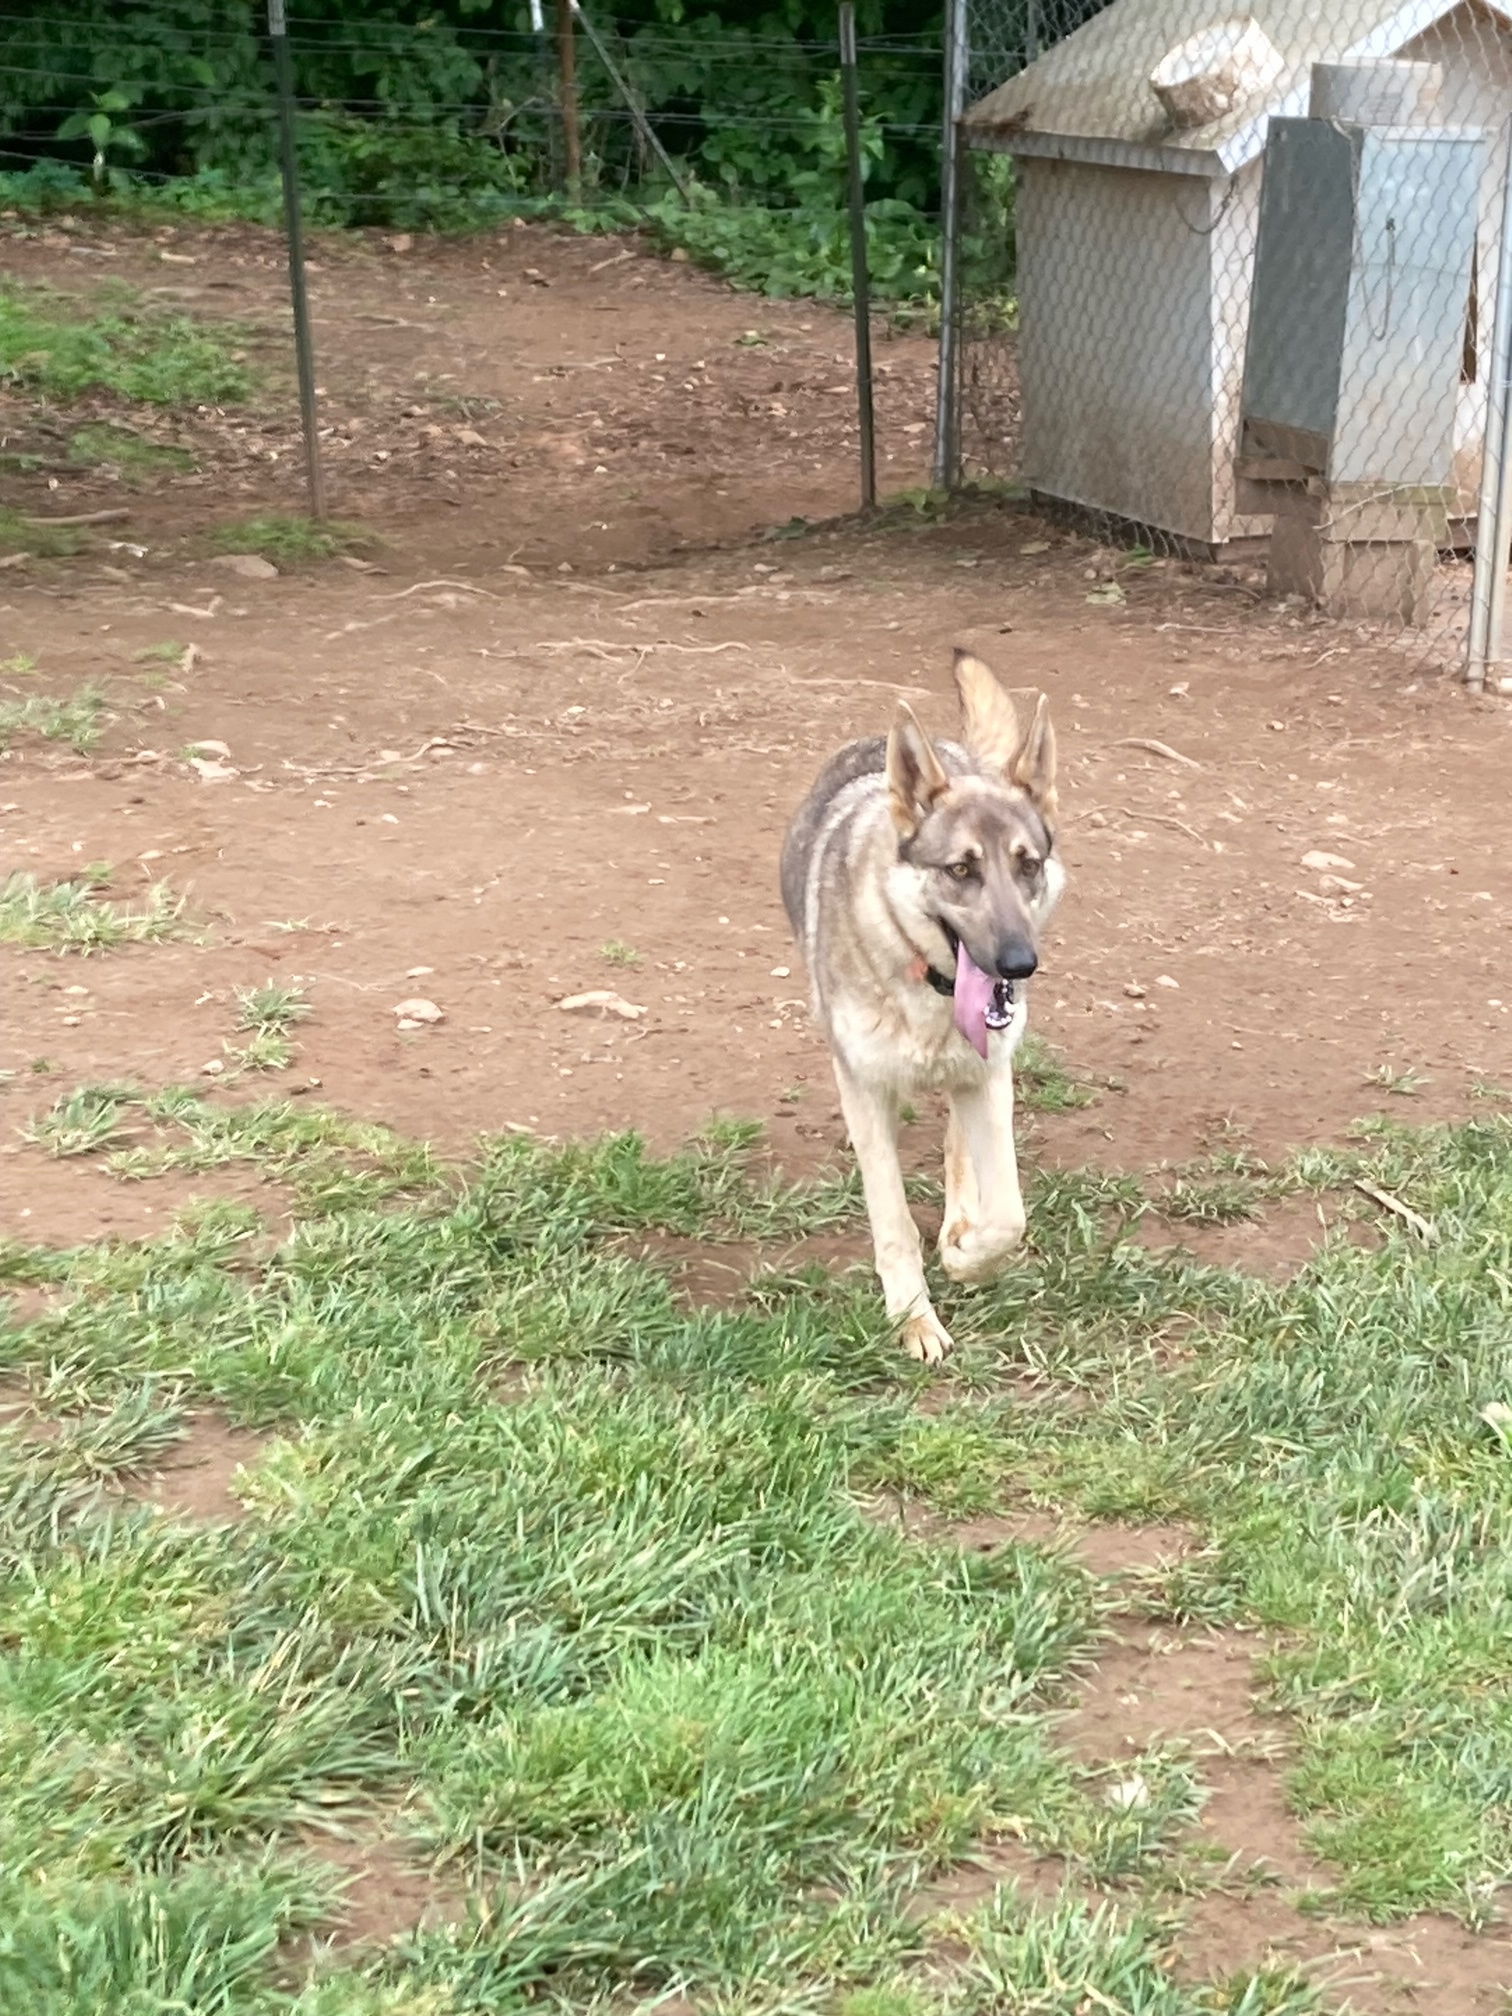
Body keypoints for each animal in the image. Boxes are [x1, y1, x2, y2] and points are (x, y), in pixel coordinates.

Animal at [782, 653, 1064, 1362]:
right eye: (961, 870)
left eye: (1028, 865)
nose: (1019, 964)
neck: (927, 989)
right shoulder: (864, 1088)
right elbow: (892, 1219)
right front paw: (912, 1316)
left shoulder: (988, 1076)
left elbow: (1008, 1213)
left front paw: (966, 1256)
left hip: (979, 1077)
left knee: (962, 1149)